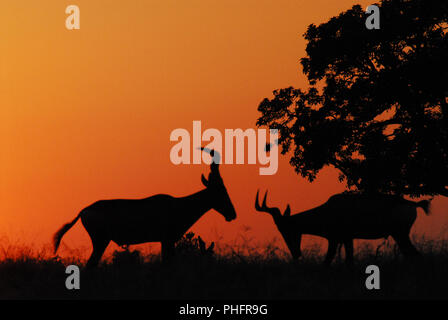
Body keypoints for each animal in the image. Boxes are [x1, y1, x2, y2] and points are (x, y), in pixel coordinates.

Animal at [53, 149, 236, 268]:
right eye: (220, 190)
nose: (232, 214)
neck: (178, 204)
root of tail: (83, 211)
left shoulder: (166, 241)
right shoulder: (167, 240)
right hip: (100, 242)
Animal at [254, 190, 432, 264]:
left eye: (286, 228)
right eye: (280, 229)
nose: (296, 254)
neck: (329, 209)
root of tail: (413, 204)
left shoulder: (335, 240)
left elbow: (329, 260)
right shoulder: (347, 239)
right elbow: (348, 260)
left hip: (400, 234)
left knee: (415, 255)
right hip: (399, 235)